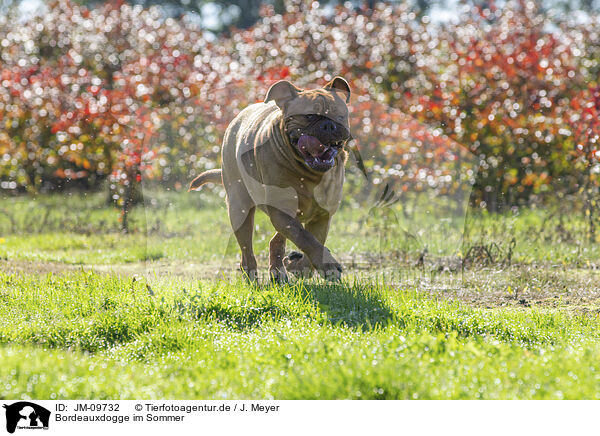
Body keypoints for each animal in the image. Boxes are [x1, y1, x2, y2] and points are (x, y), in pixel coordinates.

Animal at [190, 76, 352, 282]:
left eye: (340, 116)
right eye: (308, 116)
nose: (329, 125)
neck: (309, 173)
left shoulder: (322, 215)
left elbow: (314, 241)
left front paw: (304, 266)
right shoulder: (282, 211)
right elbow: (305, 238)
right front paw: (327, 264)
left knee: (276, 240)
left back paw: (280, 271)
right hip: (239, 208)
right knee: (247, 250)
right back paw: (253, 277)